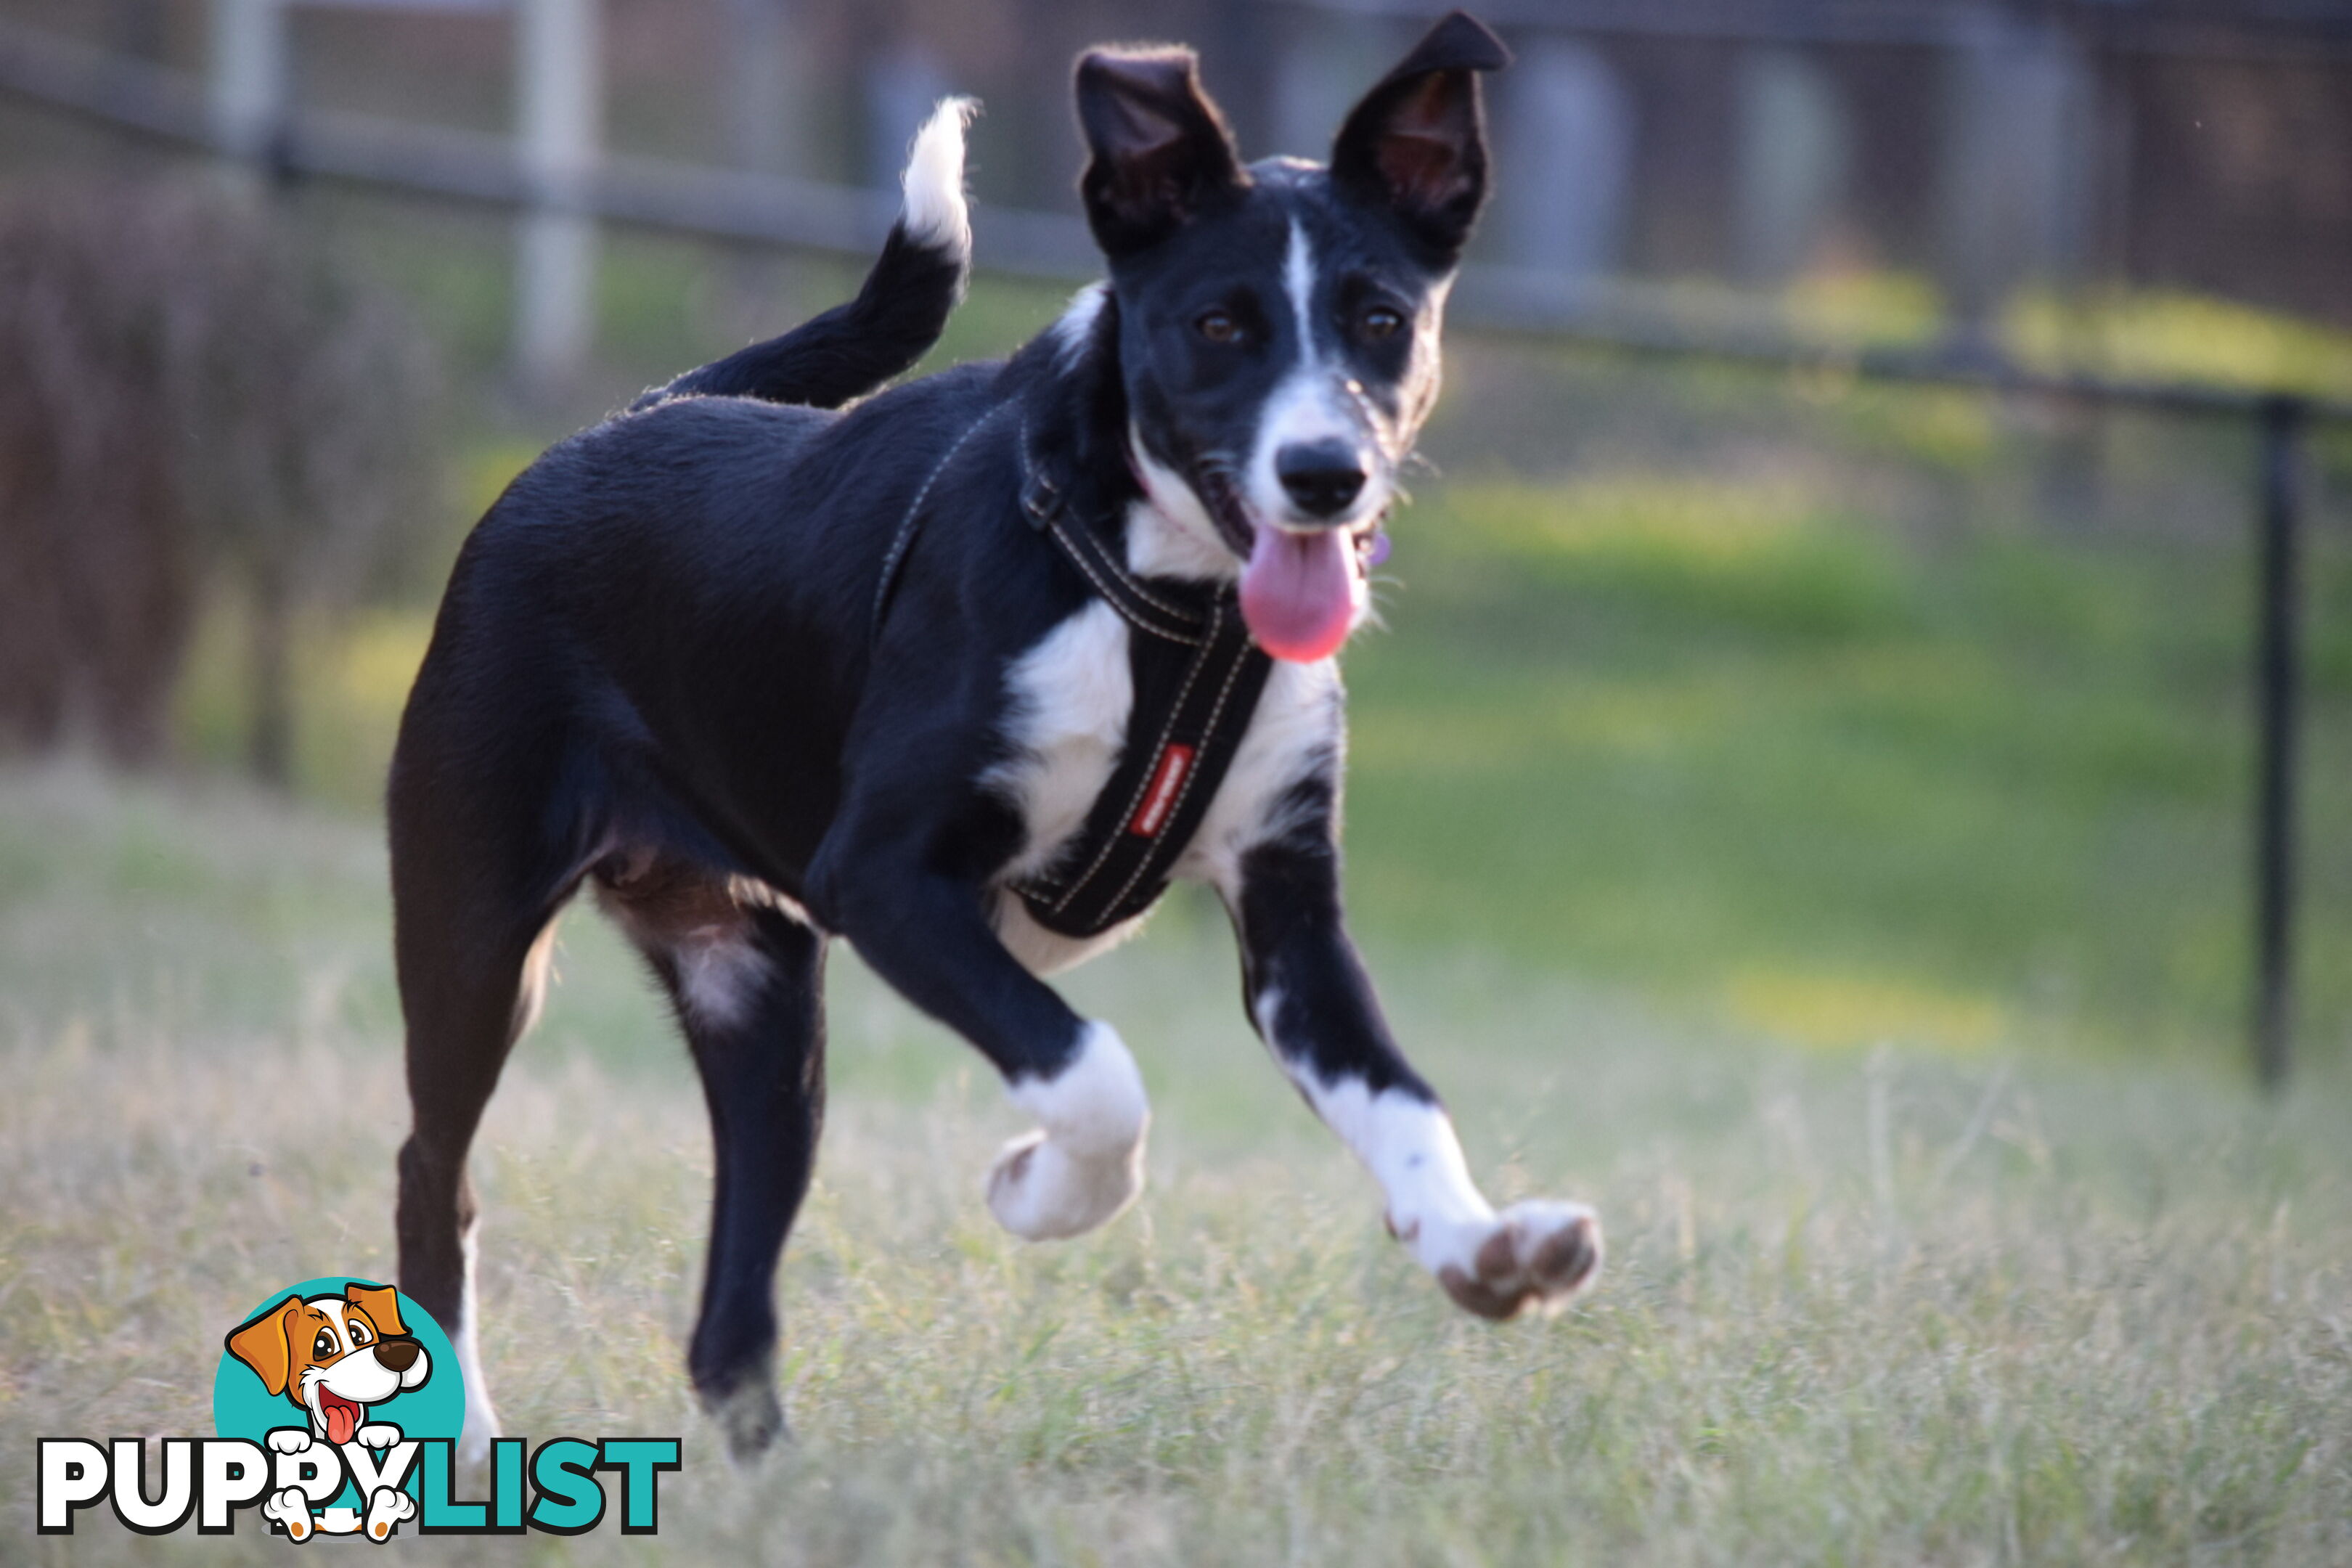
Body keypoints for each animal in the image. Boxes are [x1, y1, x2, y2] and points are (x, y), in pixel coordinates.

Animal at [390, 12, 1599, 1466]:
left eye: (1382, 320)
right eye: (1218, 324)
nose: (1327, 476)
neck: (1170, 612)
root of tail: (615, 426)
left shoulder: (1292, 920)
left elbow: (1401, 1098)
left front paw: (1484, 1248)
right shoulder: (889, 880)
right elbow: (1096, 1075)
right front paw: (1040, 1192)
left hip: (760, 1002)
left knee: (731, 1299)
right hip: (475, 929)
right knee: (434, 1175)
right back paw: (461, 1435)